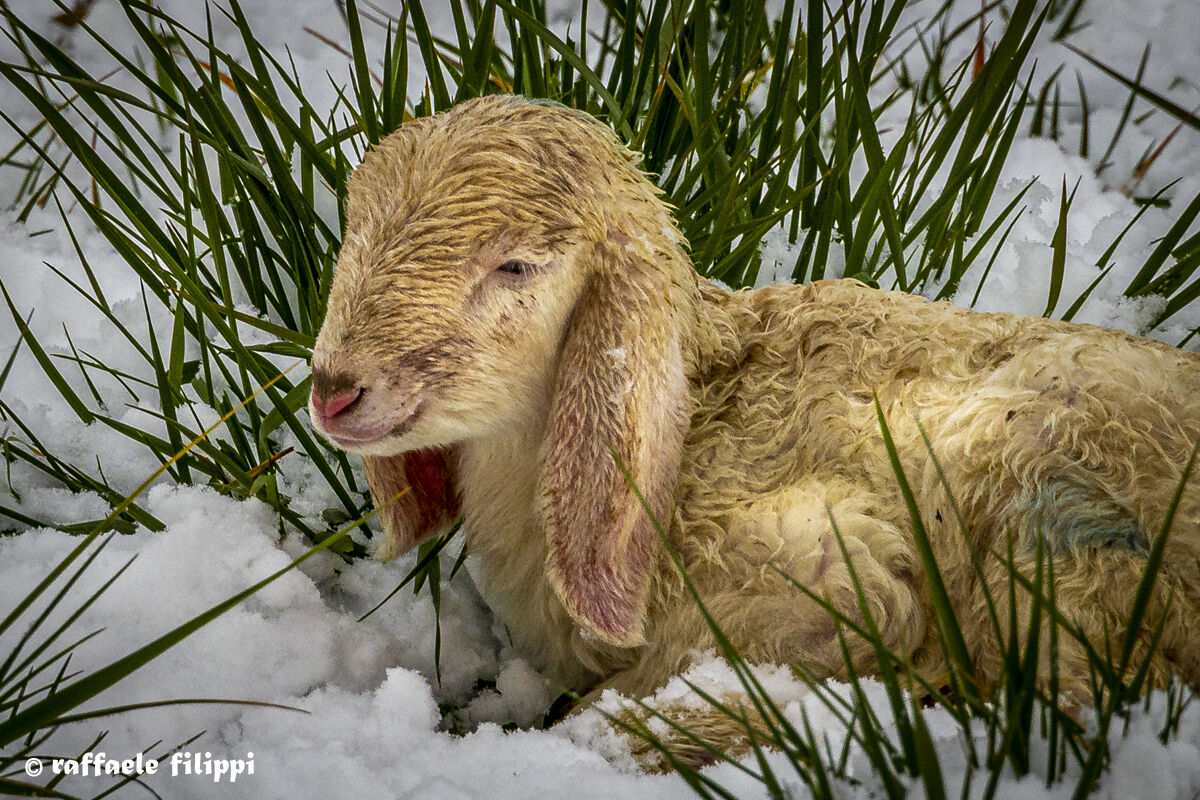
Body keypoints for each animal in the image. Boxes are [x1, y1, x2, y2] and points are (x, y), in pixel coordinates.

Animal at [308, 94, 1200, 767]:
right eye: (352, 235)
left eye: (516, 266)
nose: (333, 393)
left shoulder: (838, 570)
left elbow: (618, 724)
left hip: (1048, 520)